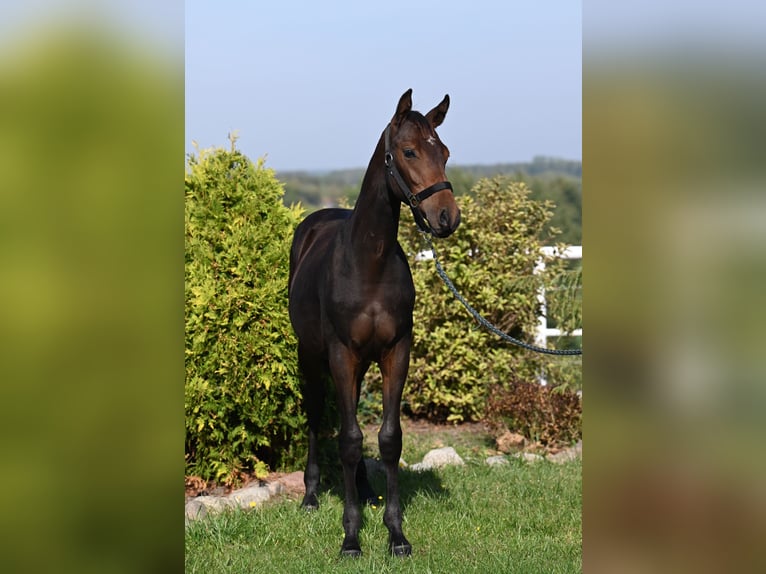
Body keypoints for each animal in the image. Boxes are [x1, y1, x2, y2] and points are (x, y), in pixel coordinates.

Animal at [288, 91, 460, 560]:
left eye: (445, 152)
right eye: (409, 151)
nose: (447, 218)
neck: (369, 262)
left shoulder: (396, 350)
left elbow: (387, 438)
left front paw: (396, 534)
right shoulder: (341, 353)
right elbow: (347, 440)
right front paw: (351, 537)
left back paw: (364, 491)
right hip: (311, 356)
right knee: (317, 416)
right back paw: (311, 496)